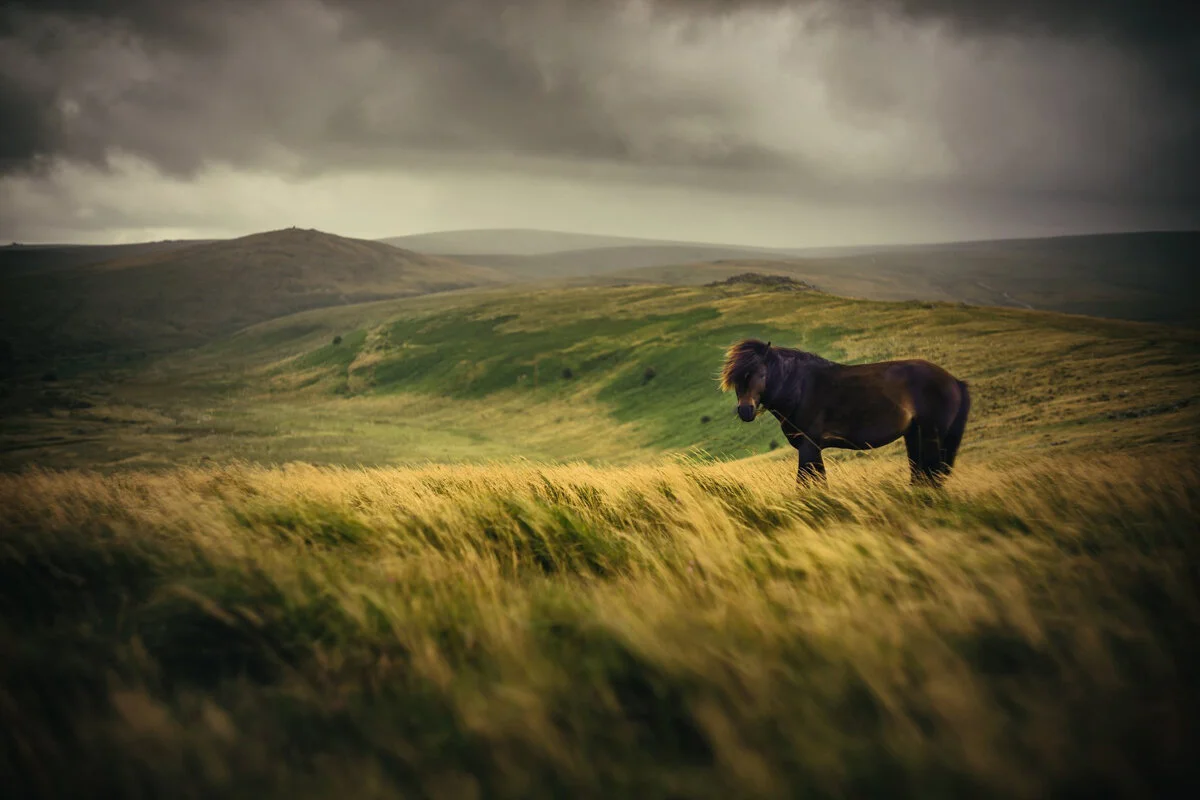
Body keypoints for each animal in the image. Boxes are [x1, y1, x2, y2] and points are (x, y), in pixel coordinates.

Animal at [719, 338, 971, 488]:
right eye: (735, 379)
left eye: (760, 374)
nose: (746, 410)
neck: (800, 387)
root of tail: (954, 381)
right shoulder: (811, 448)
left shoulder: (809, 446)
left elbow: (807, 484)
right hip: (914, 436)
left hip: (930, 436)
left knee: (931, 475)